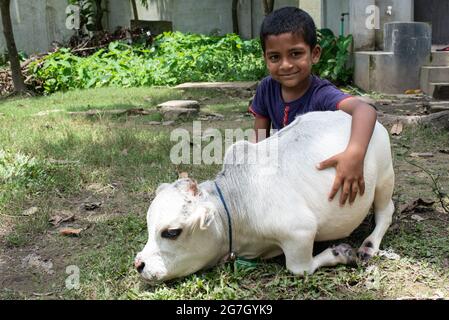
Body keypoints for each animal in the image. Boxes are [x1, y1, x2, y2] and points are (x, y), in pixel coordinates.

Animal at [135, 111, 394, 282]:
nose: (139, 264)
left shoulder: (300, 232)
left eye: (172, 232)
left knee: (385, 212)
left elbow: (300, 268)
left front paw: (340, 253)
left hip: (384, 178)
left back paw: (369, 246)